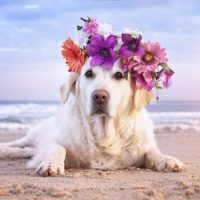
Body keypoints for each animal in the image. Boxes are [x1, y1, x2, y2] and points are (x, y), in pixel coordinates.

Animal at [0, 58, 186, 177]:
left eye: (119, 75)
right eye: (88, 73)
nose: (100, 96)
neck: (103, 135)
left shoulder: (140, 148)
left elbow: (152, 151)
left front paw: (167, 160)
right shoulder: (52, 140)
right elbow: (57, 147)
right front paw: (50, 164)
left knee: (28, 150)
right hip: (35, 134)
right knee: (20, 144)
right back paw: (5, 150)